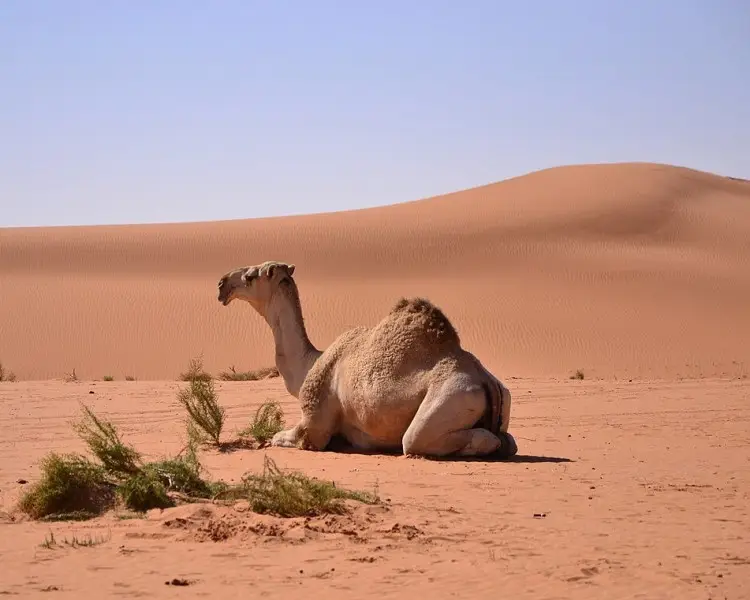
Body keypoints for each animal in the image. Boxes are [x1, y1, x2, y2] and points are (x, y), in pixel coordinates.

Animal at [217, 260, 517, 459]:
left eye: (251, 276)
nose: (222, 283)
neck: (309, 365)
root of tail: (484, 379)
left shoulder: (314, 426)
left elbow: (280, 437)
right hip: (503, 396)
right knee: (508, 440)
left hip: (451, 398)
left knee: (424, 440)